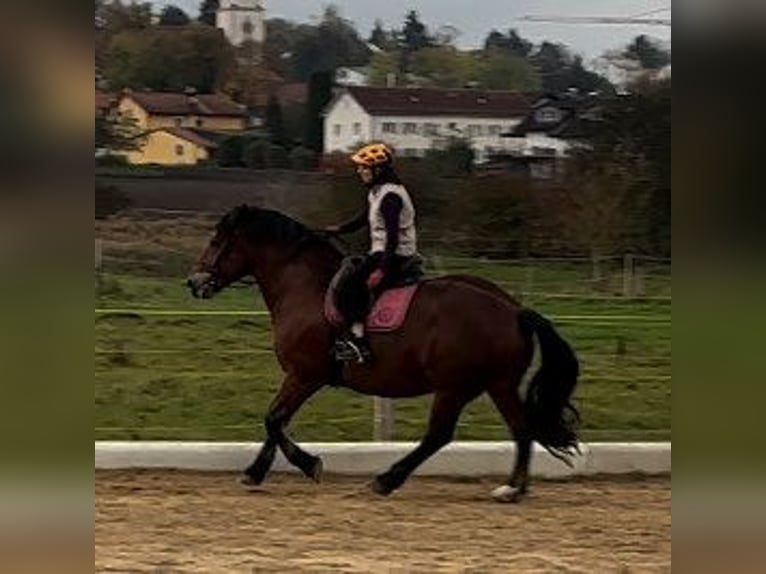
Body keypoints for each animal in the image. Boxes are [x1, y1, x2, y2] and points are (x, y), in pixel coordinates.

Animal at [188, 206, 584, 504]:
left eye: (217, 240)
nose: (194, 283)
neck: (304, 288)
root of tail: (514, 310)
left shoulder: (305, 374)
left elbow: (274, 419)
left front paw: (308, 464)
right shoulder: (301, 377)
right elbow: (276, 422)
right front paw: (255, 473)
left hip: (458, 386)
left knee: (441, 434)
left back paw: (390, 480)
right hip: (494, 384)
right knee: (520, 428)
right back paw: (514, 488)